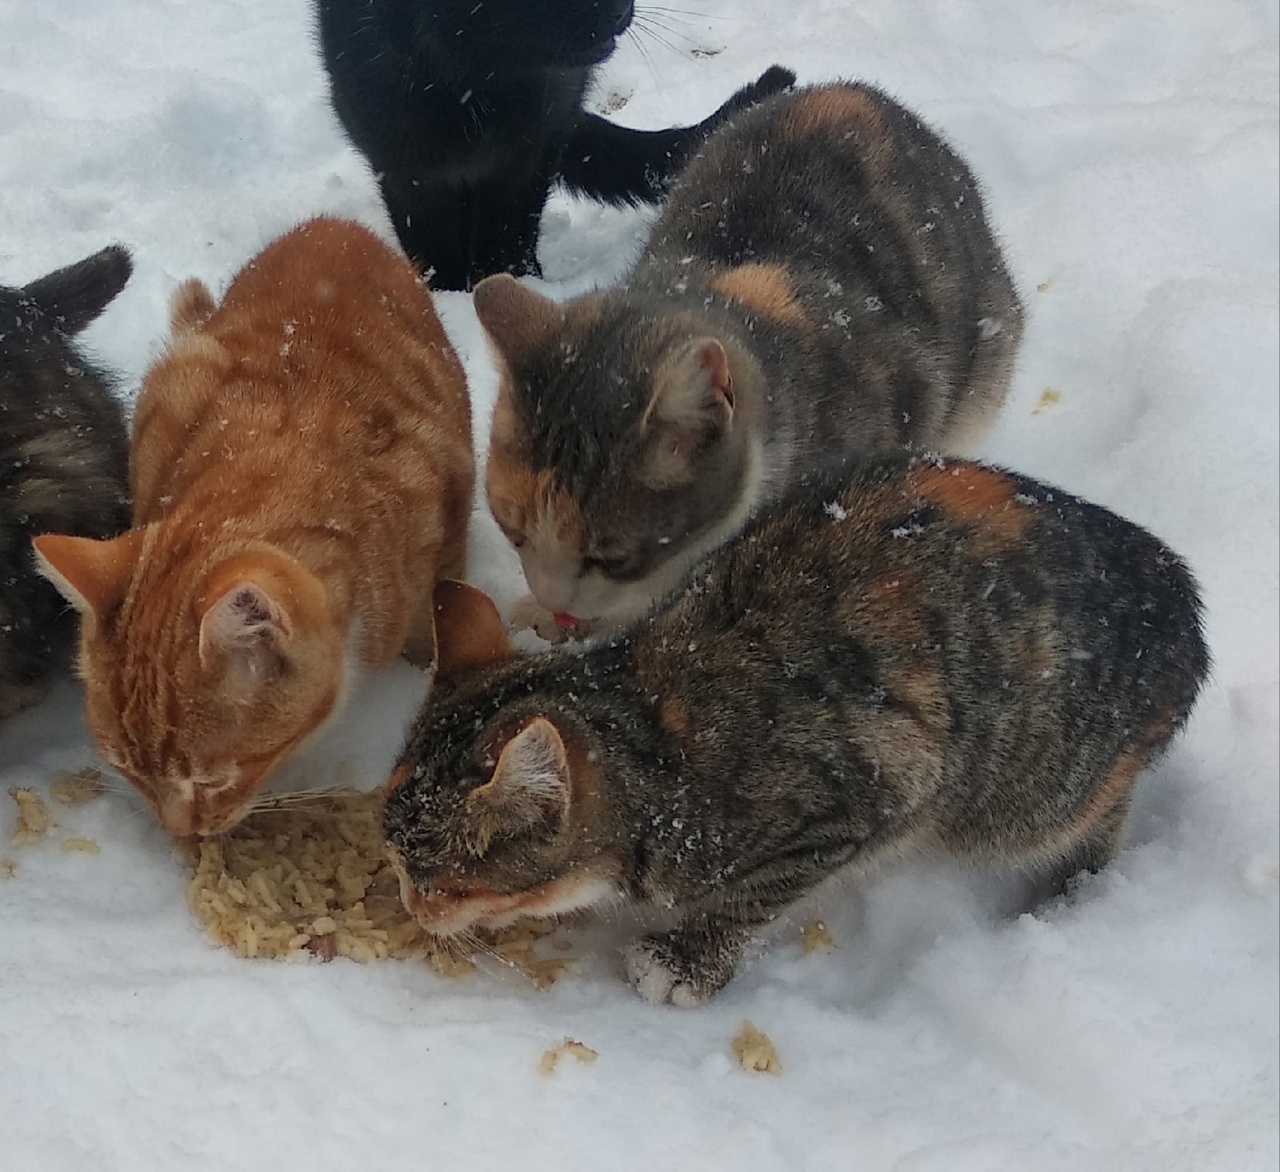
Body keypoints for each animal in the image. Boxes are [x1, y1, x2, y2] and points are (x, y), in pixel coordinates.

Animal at [315, 0, 795, 289]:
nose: (622, 7)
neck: (475, 84)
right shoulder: (406, 171)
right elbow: (433, 245)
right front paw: (446, 297)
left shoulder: (531, 152)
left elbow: (509, 232)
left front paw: (511, 281)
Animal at [383, 454, 1210, 1005]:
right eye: (396, 861)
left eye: (437, 881)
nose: (408, 904)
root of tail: (1177, 588)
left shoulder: (862, 795)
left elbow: (756, 897)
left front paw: (685, 961)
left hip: (1017, 800)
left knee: (1097, 811)